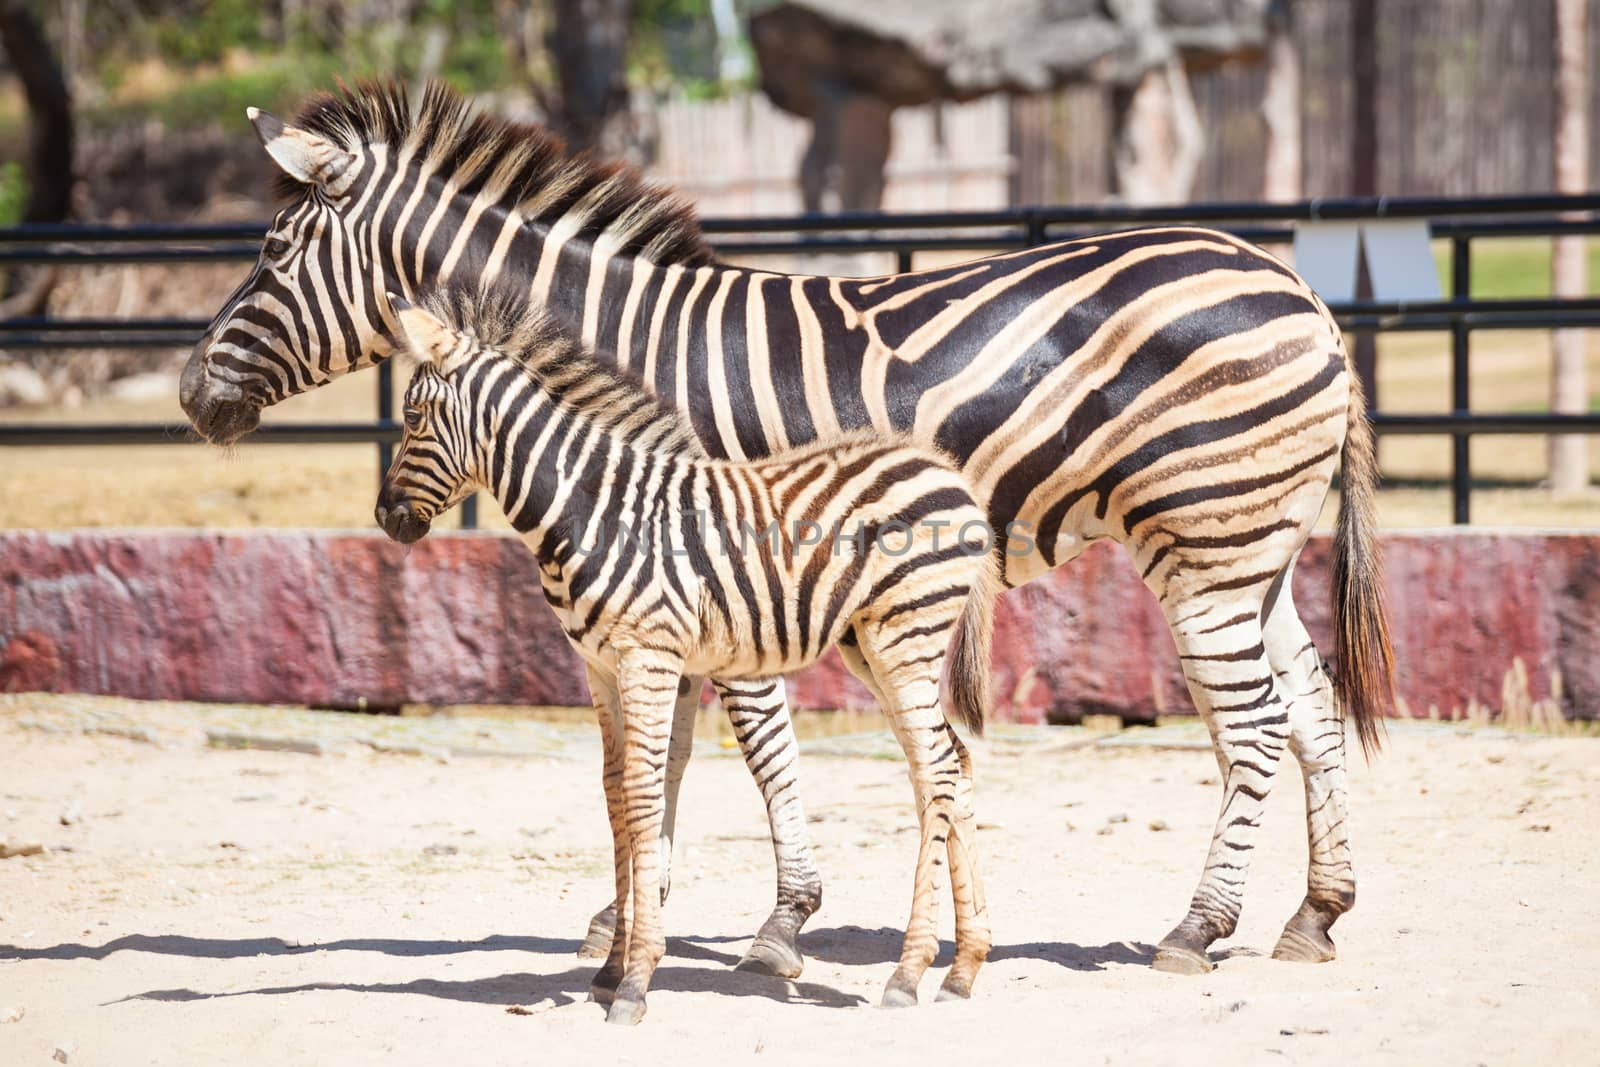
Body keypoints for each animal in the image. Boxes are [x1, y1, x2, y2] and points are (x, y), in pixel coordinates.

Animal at [377, 292, 998, 1023]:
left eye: (414, 416)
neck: (593, 509)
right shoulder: (600, 665)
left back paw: (908, 972)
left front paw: (636, 979)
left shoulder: (647, 654)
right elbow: (616, 794)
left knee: (935, 771)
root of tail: (945, 470)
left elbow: (646, 794)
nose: (385, 515)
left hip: (905, 634)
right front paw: (613, 966)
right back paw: (963, 966)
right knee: (951, 765)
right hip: (871, 644)